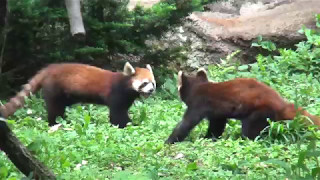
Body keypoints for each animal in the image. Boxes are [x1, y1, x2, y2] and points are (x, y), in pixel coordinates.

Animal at [0, 62, 156, 127]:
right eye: (144, 83)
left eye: (152, 83)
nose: (151, 90)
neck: (125, 85)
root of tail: (50, 68)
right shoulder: (116, 95)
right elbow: (117, 115)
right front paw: (128, 124)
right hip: (54, 89)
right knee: (54, 108)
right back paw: (54, 123)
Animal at [165, 68, 320, 144]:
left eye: (178, 87)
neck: (199, 87)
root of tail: (281, 104)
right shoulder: (217, 113)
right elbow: (216, 126)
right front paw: (209, 138)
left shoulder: (198, 105)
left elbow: (186, 124)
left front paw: (169, 140)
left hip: (257, 114)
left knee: (250, 131)